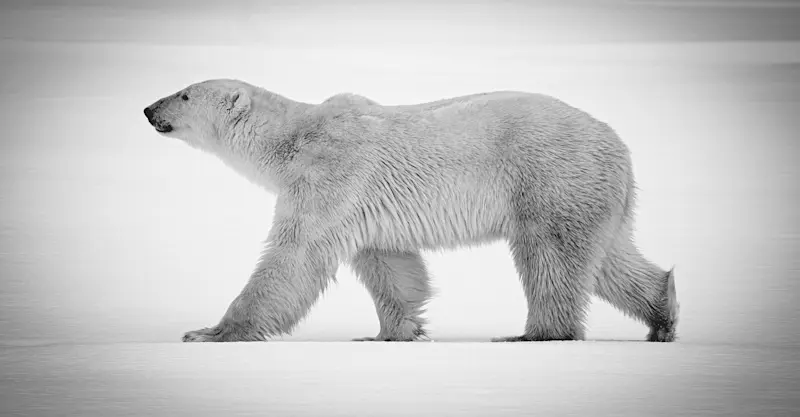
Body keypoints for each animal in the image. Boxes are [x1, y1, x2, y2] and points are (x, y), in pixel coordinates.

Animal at [143, 79, 679, 343]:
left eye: (185, 93)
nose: (149, 109)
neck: (294, 137)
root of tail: (618, 143)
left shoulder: (332, 172)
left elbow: (295, 254)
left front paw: (210, 332)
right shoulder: (362, 201)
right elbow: (389, 262)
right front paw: (391, 333)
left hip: (551, 177)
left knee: (552, 256)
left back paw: (537, 335)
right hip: (591, 192)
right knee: (609, 260)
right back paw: (663, 315)